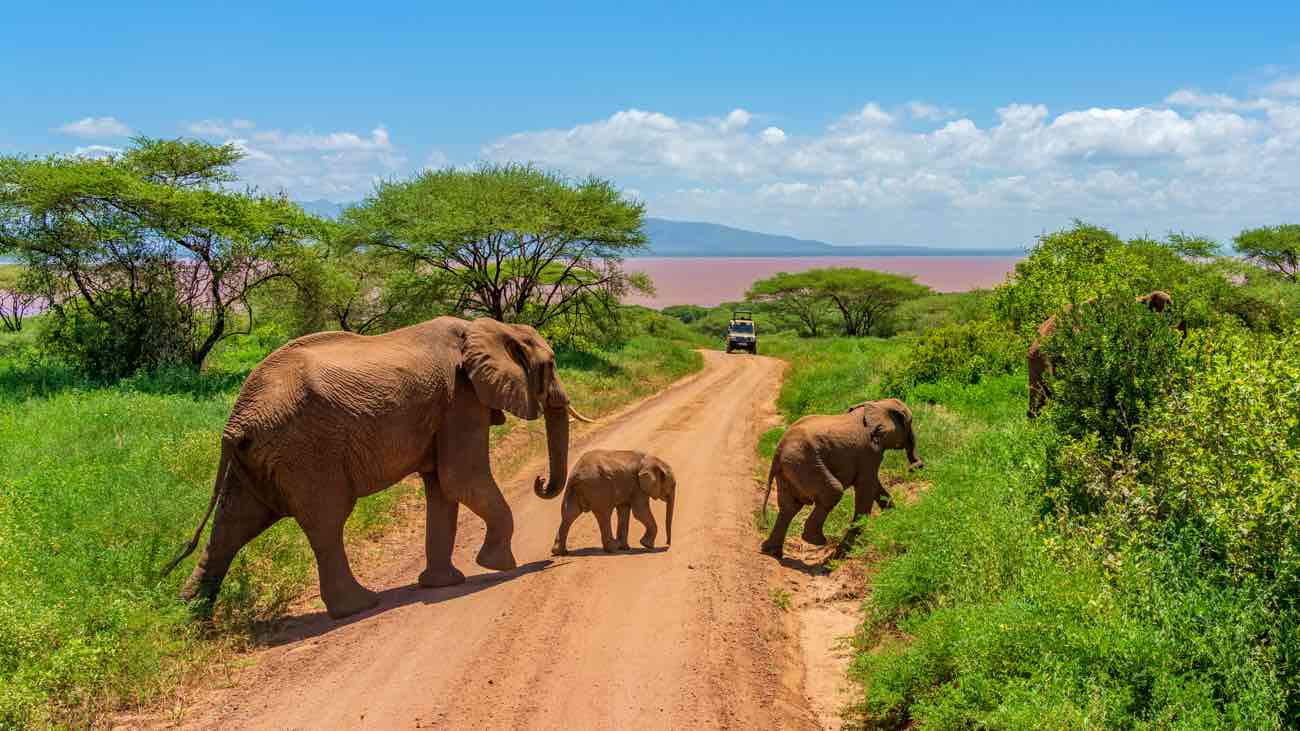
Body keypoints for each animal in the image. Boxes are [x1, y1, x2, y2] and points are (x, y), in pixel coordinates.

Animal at [162, 316, 595, 616]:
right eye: (550, 365)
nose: (540, 481)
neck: (488, 327)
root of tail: (235, 421)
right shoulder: (461, 398)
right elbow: (461, 479)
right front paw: (500, 566)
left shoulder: (449, 406)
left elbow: (443, 488)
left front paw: (443, 585)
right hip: (305, 452)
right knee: (326, 522)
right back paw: (358, 607)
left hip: (255, 459)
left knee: (233, 525)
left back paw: (190, 618)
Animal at [548, 447, 676, 554]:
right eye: (672, 485)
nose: (667, 544)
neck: (652, 460)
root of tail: (576, 473)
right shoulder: (638, 487)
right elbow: (640, 512)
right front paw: (647, 545)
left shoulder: (630, 487)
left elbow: (624, 510)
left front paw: (626, 548)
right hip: (598, 486)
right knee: (604, 514)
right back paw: (613, 548)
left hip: (575, 490)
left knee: (569, 513)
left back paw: (559, 552)